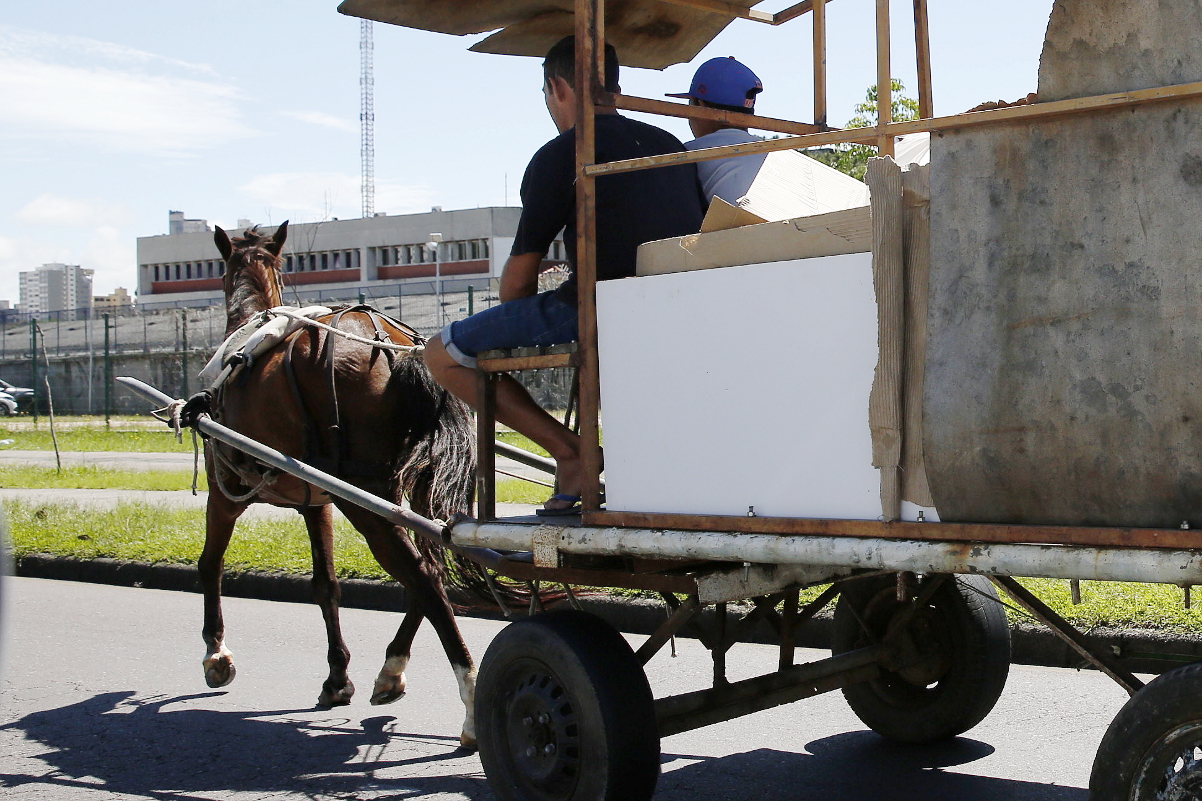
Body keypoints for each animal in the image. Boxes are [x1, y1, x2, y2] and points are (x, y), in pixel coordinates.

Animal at [197, 221, 483, 745]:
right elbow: (326, 585)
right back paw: (393, 669)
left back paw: (470, 698)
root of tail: (391, 346)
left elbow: (211, 565)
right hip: (406, 490)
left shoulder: (223, 490)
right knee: (430, 569)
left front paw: (216, 654)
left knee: (423, 576)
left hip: (367, 499)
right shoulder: (318, 503)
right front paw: (337, 676)